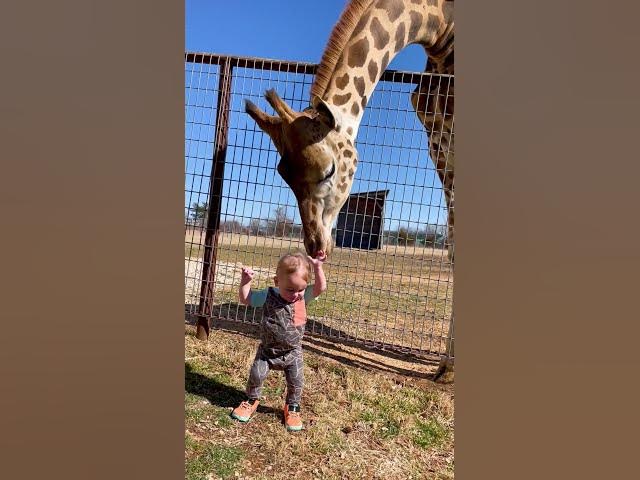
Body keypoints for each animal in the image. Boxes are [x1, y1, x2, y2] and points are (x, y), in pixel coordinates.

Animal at [245, 0, 456, 380]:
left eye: (329, 169)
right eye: (283, 175)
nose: (316, 245)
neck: (440, 26)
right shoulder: (439, 140)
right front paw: (447, 366)